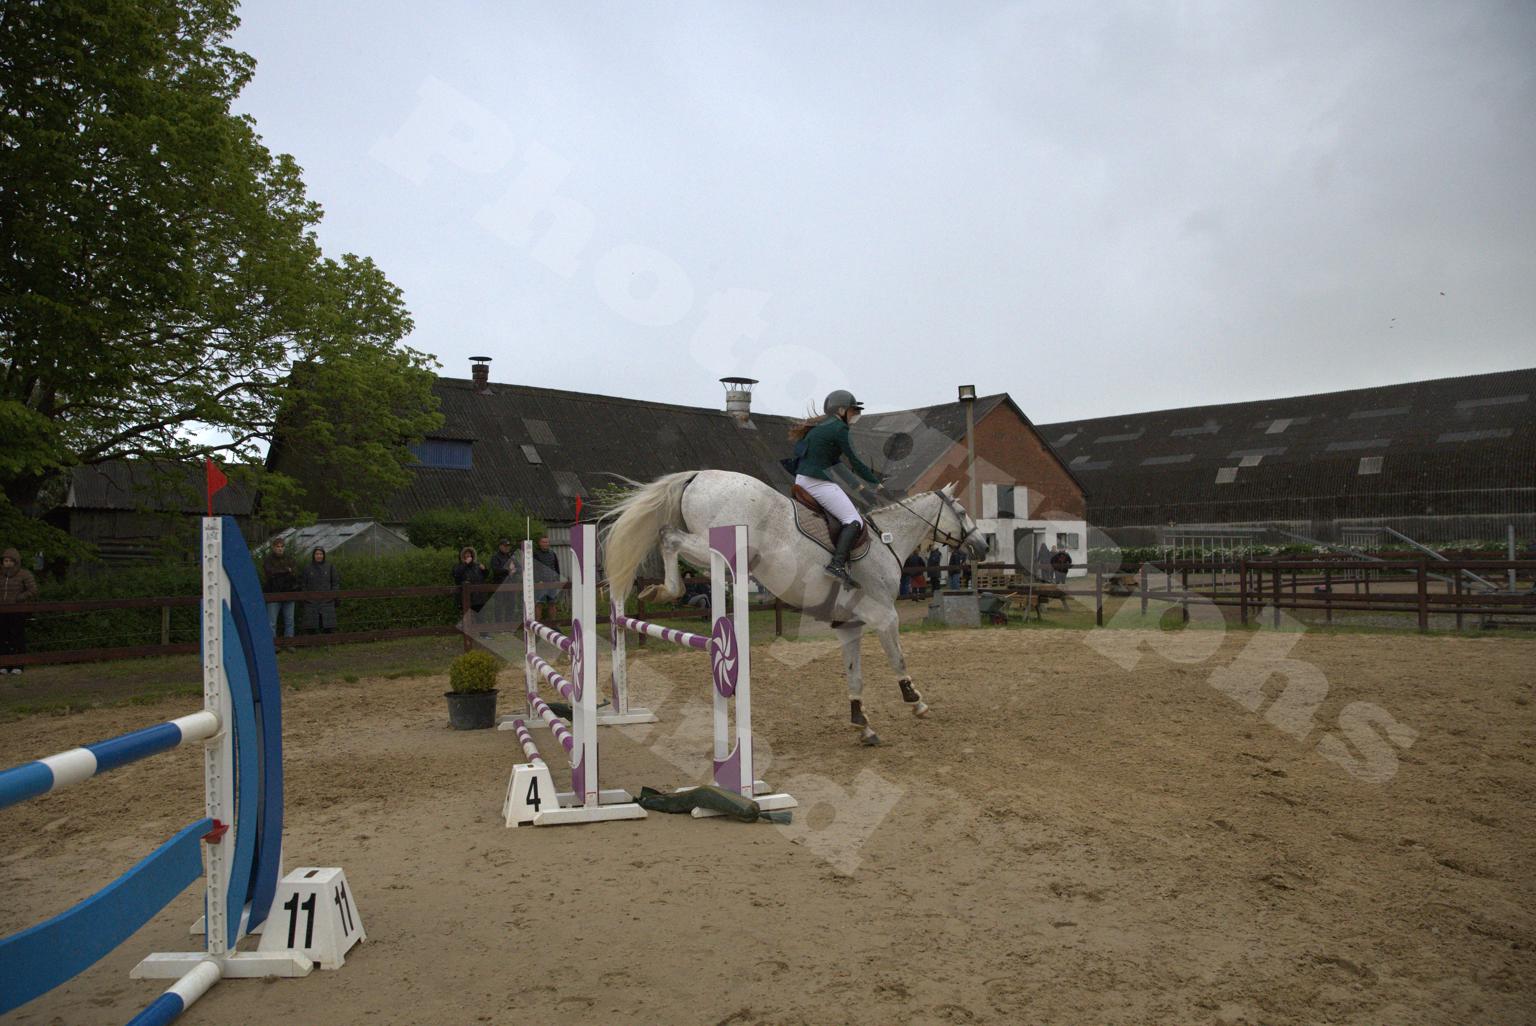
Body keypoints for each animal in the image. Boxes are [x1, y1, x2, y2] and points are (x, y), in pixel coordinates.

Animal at [601, 470, 989, 745]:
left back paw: (659, 592)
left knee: (667, 538)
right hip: (714, 543)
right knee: (668, 537)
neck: (887, 543)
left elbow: (855, 675)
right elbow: (899, 660)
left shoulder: (849, 626)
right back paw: (669, 589)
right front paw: (916, 701)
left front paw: (862, 724)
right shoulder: (884, 617)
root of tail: (698, 476)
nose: (983, 547)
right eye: (962, 511)